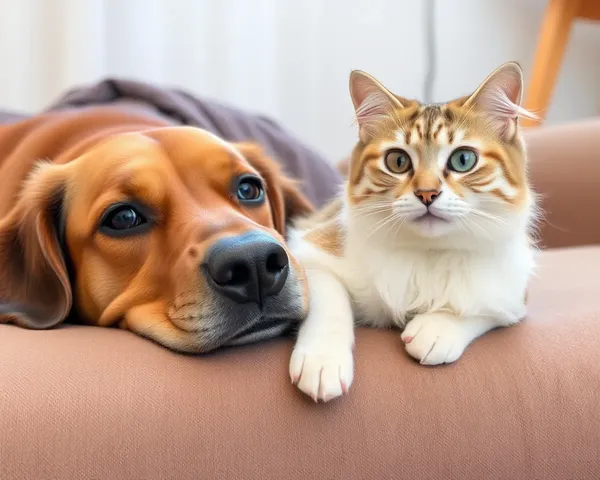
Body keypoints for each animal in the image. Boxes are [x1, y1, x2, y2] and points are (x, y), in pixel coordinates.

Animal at [288, 62, 540, 402]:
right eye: (397, 161)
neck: (428, 251)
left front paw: (437, 328)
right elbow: (330, 303)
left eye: (463, 159)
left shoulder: (513, 292)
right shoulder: (309, 250)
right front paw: (322, 361)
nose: (427, 193)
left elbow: (482, 307)